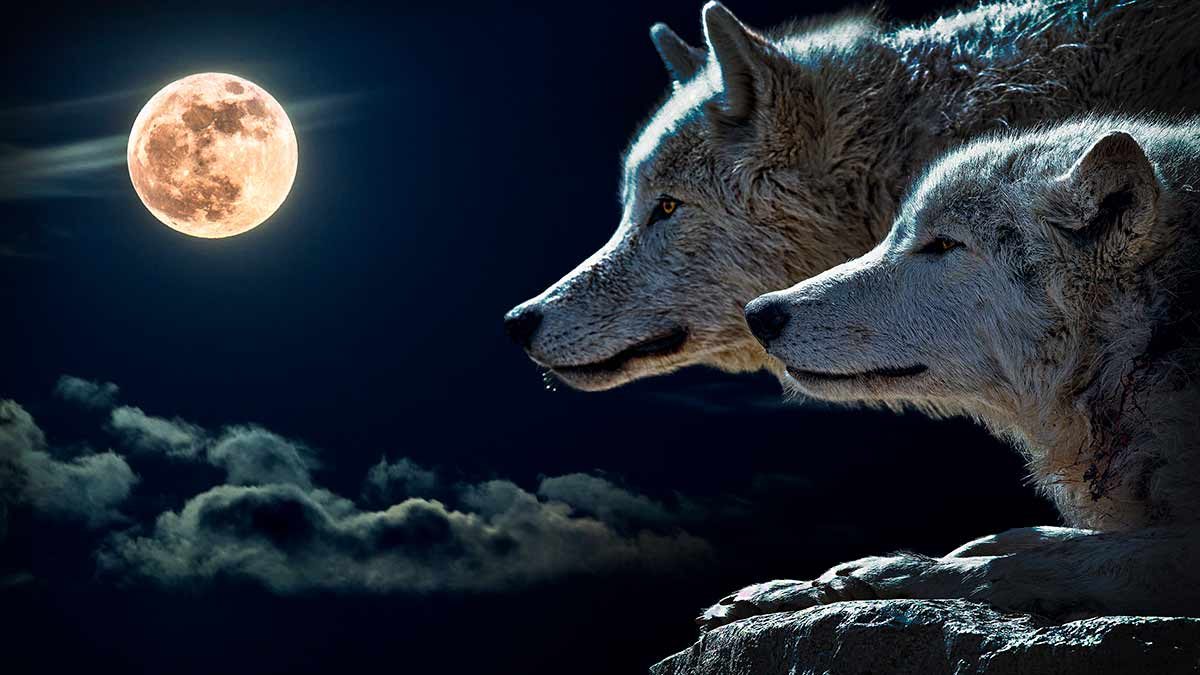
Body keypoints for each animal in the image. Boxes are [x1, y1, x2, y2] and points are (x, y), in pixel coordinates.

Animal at [699, 117, 1200, 628]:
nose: (759, 313)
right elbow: (1030, 539)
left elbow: (1023, 564)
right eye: (896, 234)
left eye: (942, 244)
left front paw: (868, 577)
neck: (1147, 343)